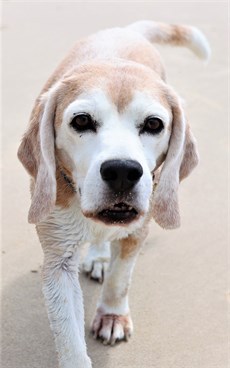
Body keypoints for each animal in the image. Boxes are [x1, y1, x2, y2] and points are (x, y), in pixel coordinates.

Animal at [17, 20, 209, 368]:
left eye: (153, 124)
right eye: (81, 120)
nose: (122, 171)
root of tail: (128, 30)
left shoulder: (137, 232)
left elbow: (120, 280)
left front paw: (112, 316)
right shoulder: (58, 263)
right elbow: (68, 334)